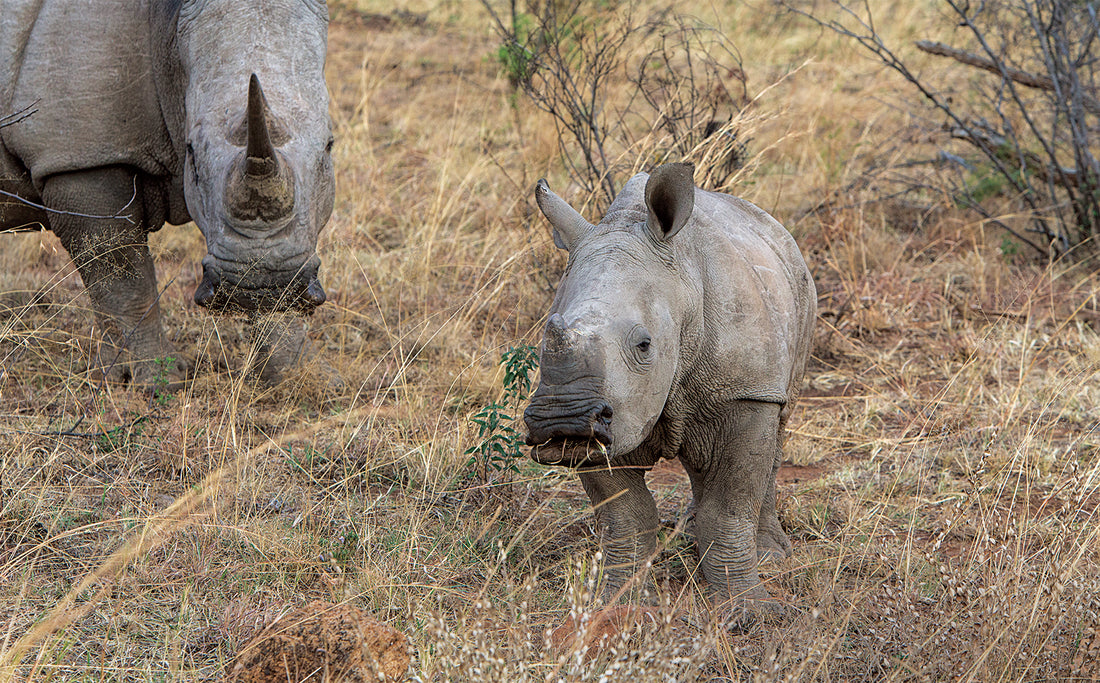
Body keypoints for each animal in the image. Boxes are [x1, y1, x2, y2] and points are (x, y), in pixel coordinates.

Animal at [1, 0, 334, 387]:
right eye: (191, 154)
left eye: (329, 146)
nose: (261, 285)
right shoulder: (77, 159)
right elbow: (120, 273)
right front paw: (157, 380)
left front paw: (303, 378)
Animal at [523, 161, 818, 615]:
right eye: (541, 343)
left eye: (644, 345)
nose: (562, 419)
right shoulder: (606, 421)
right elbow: (624, 518)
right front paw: (614, 605)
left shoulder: (746, 390)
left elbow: (729, 508)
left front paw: (747, 610)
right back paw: (692, 536)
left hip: (799, 290)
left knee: (780, 424)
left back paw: (770, 554)